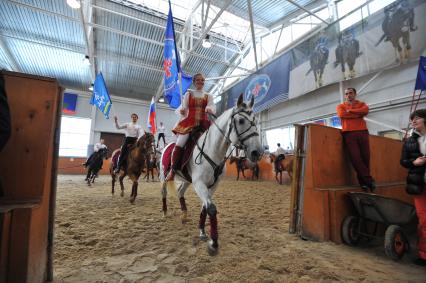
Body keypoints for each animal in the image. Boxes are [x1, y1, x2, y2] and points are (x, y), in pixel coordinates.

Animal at [159, 94, 262, 256]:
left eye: (256, 121)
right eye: (241, 121)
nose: (257, 152)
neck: (212, 150)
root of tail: (166, 147)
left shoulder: (212, 185)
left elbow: (205, 207)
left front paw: (202, 231)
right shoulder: (199, 184)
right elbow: (211, 209)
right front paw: (213, 243)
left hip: (187, 181)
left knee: (180, 192)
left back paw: (184, 214)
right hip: (164, 177)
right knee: (163, 192)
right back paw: (164, 212)